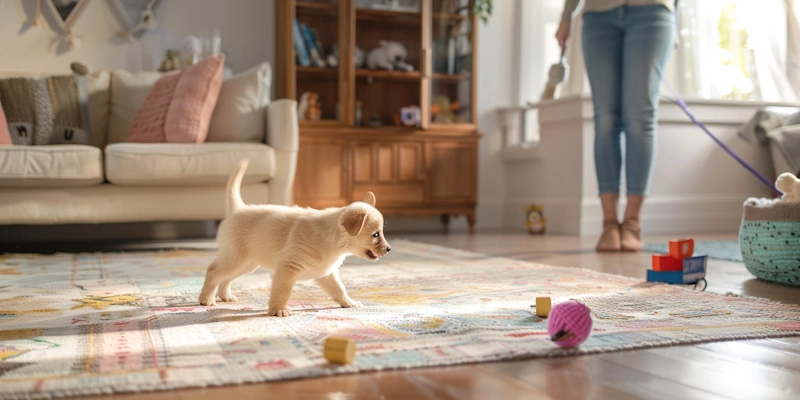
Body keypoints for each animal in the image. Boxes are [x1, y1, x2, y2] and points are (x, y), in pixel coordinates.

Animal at [197, 159, 390, 316]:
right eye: (375, 235)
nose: (389, 249)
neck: (332, 240)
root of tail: (238, 209)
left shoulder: (327, 273)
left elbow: (339, 289)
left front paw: (349, 303)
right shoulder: (288, 268)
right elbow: (283, 291)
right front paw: (278, 311)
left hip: (247, 263)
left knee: (225, 277)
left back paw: (225, 296)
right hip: (236, 258)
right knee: (214, 271)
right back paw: (206, 299)